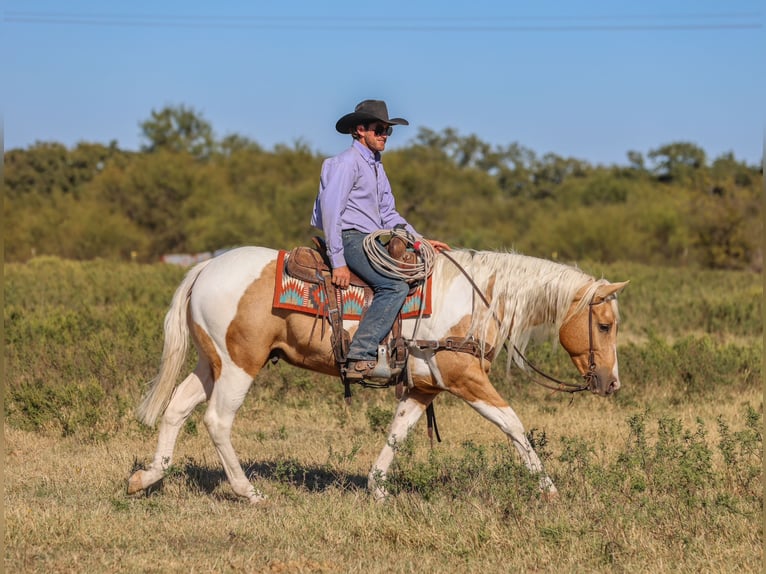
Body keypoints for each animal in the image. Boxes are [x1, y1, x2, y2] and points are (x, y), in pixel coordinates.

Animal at [128, 245, 628, 503]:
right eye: (605, 325)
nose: (611, 383)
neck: (476, 301)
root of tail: (206, 267)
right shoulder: (463, 378)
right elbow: (514, 425)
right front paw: (549, 489)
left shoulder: (424, 388)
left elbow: (397, 433)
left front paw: (377, 488)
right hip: (238, 365)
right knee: (217, 421)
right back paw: (247, 491)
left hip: (209, 364)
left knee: (175, 410)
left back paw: (148, 477)